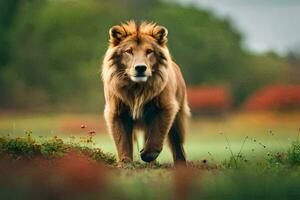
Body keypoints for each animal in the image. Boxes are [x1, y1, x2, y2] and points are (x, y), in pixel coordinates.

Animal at [101, 21, 190, 166]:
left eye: (149, 51)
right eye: (129, 51)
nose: (140, 68)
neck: (137, 88)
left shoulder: (165, 107)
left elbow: (157, 134)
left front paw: (146, 154)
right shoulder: (116, 111)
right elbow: (122, 140)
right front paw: (125, 163)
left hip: (178, 117)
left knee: (177, 144)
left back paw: (179, 164)